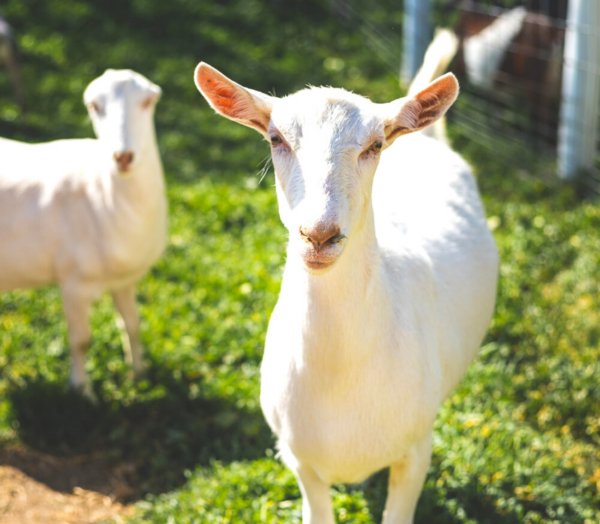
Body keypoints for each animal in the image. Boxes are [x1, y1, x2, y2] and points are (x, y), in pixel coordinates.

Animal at [0, 70, 166, 398]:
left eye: (148, 101)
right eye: (93, 105)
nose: (123, 157)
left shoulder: (124, 280)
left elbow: (132, 324)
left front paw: (139, 374)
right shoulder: (74, 284)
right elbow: (81, 341)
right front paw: (82, 391)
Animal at [196, 34, 496, 520]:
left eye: (374, 145)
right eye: (275, 138)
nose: (319, 235)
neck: (339, 376)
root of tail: (426, 137)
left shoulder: (417, 448)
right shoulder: (297, 456)